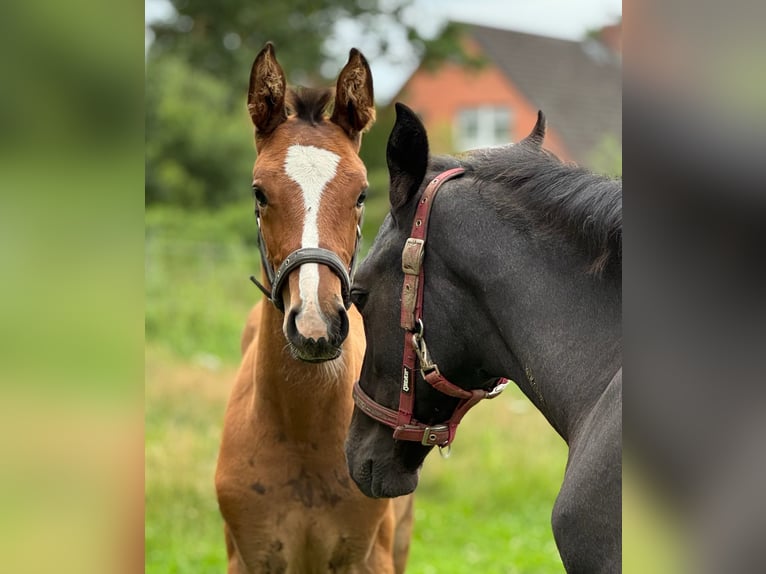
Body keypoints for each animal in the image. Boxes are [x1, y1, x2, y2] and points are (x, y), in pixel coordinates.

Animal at [215, 44, 413, 574]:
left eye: (362, 193)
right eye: (259, 193)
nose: (315, 325)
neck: (302, 436)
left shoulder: (369, 558)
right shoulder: (249, 557)